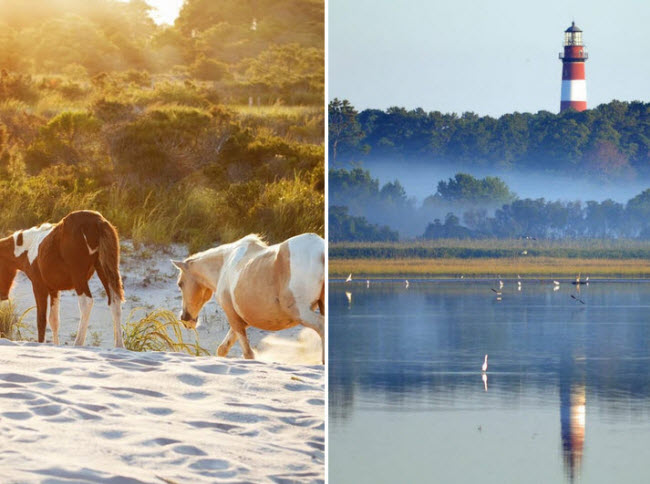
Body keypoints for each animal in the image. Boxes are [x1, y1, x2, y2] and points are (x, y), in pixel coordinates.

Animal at [0, 210, 124, 346]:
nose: (3, 296)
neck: (30, 248)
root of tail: (98, 222)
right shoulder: (54, 289)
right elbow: (54, 321)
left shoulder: (39, 286)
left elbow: (41, 320)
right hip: (103, 270)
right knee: (115, 301)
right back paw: (119, 346)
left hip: (79, 277)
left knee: (86, 303)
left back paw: (78, 343)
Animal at [172, 233, 324, 364]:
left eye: (180, 283)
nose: (185, 319)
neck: (224, 265)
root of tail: (321, 252)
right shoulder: (242, 319)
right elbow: (222, 349)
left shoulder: (233, 317)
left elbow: (248, 354)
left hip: (301, 312)